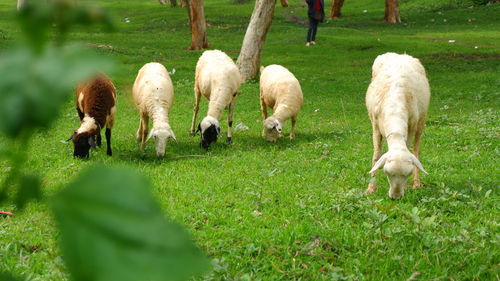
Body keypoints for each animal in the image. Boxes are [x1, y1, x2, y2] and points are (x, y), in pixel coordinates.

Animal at [366, 52, 432, 197]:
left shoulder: (412, 126)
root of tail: (402, 54)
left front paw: (407, 186)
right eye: (387, 173)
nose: (395, 197)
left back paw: (417, 183)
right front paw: (371, 188)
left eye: (408, 174)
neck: (394, 108)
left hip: (421, 121)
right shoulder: (375, 126)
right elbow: (376, 157)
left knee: (416, 150)